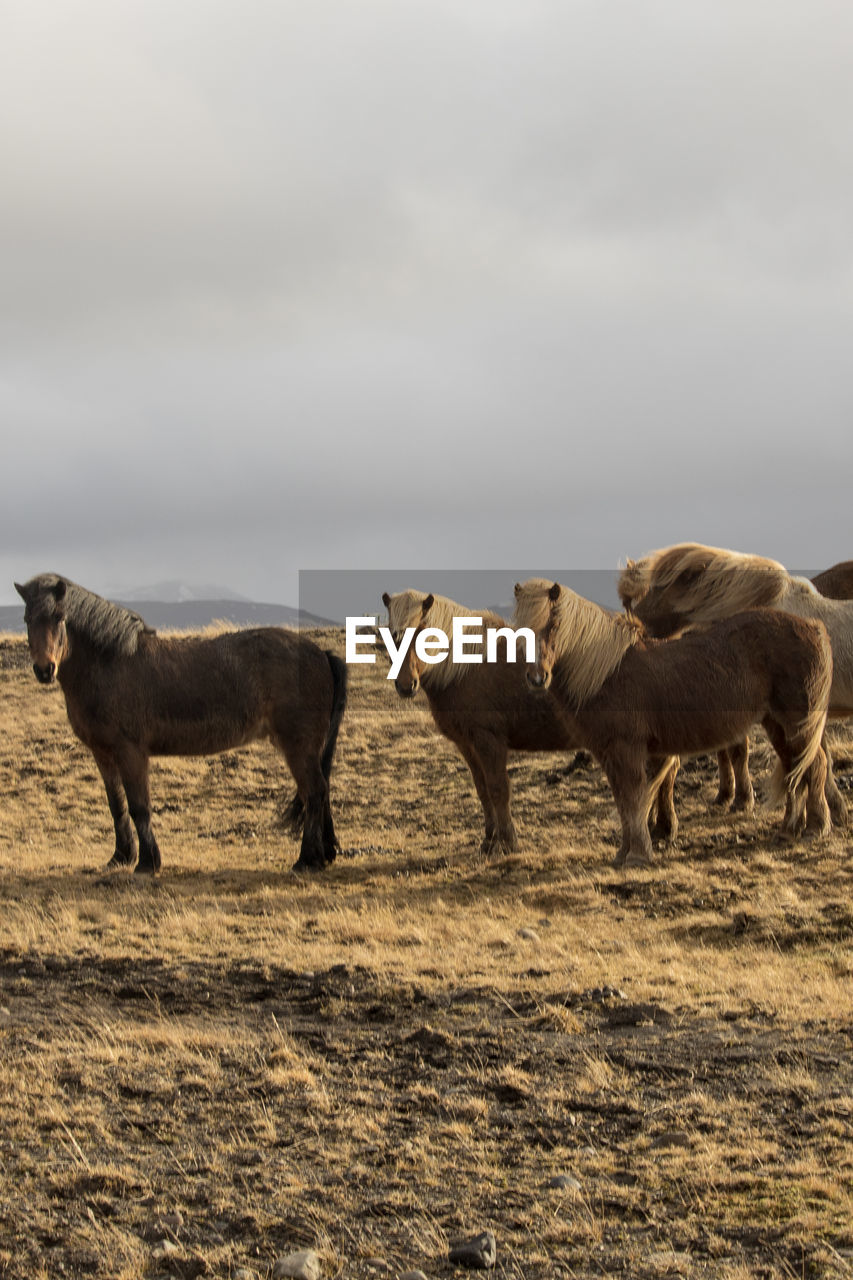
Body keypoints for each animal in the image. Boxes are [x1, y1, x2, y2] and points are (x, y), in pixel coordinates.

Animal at [14, 576, 345, 875]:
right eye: (27, 619)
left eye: (59, 617)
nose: (44, 669)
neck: (108, 664)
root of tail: (322, 654)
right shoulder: (102, 753)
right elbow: (116, 804)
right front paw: (121, 856)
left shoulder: (131, 752)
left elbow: (139, 806)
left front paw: (147, 863)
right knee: (320, 791)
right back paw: (324, 854)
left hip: (298, 746)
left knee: (314, 792)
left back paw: (307, 860)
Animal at [381, 591, 681, 855]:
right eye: (391, 634)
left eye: (422, 631)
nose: (406, 686)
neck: (465, 667)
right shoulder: (467, 745)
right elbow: (482, 790)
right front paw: (489, 841)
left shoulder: (489, 741)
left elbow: (498, 790)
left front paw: (508, 843)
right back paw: (659, 827)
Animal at [512, 581, 829, 870]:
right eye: (519, 631)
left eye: (553, 625)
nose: (536, 678)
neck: (605, 673)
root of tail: (813, 627)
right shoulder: (609, 754)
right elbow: (623, 801)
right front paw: (623, 853)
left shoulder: (626, 750)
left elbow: (633, 799)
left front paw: (638, 855)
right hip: (777, 725)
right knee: (795, 769)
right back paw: (789, 831)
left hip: (795, 724)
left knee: (813, 765)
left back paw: (815, 828)